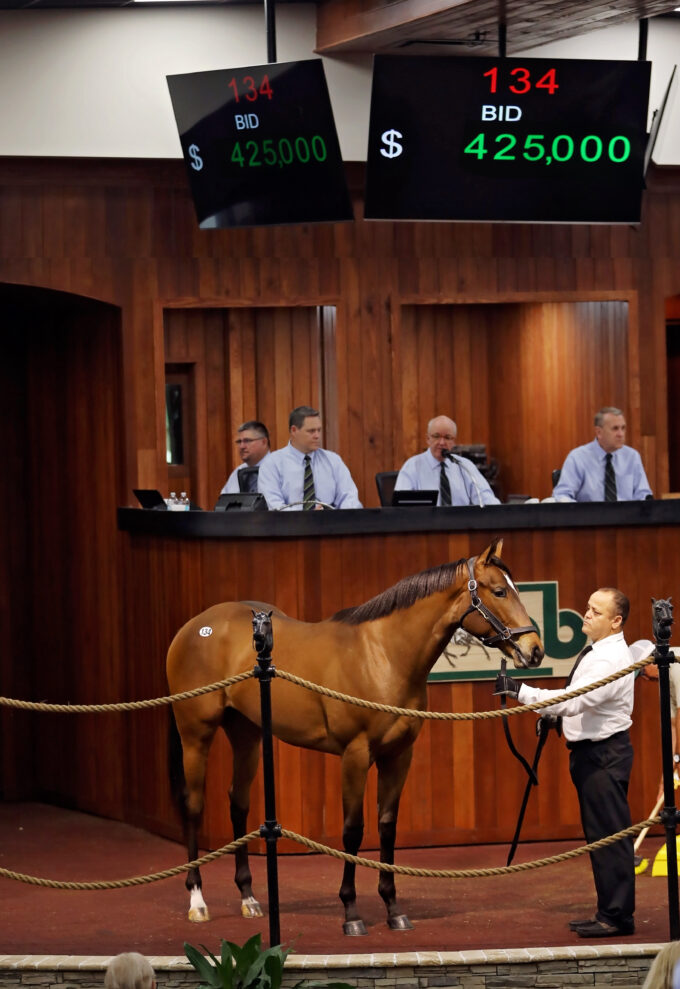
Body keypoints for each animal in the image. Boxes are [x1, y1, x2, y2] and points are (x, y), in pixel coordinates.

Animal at [169, 540, 540, 932]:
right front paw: (351, 912)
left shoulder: (398, 756)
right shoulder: (355, 755)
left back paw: (248, 898)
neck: (382, 656)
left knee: (237, 803)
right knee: (193, 805)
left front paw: (393, 908)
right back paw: (197, 900)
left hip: (247, 734)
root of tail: (196, 626)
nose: (534, 650)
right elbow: (353, 830)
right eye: (499, 591)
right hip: (195, 735)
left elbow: (387, 826)